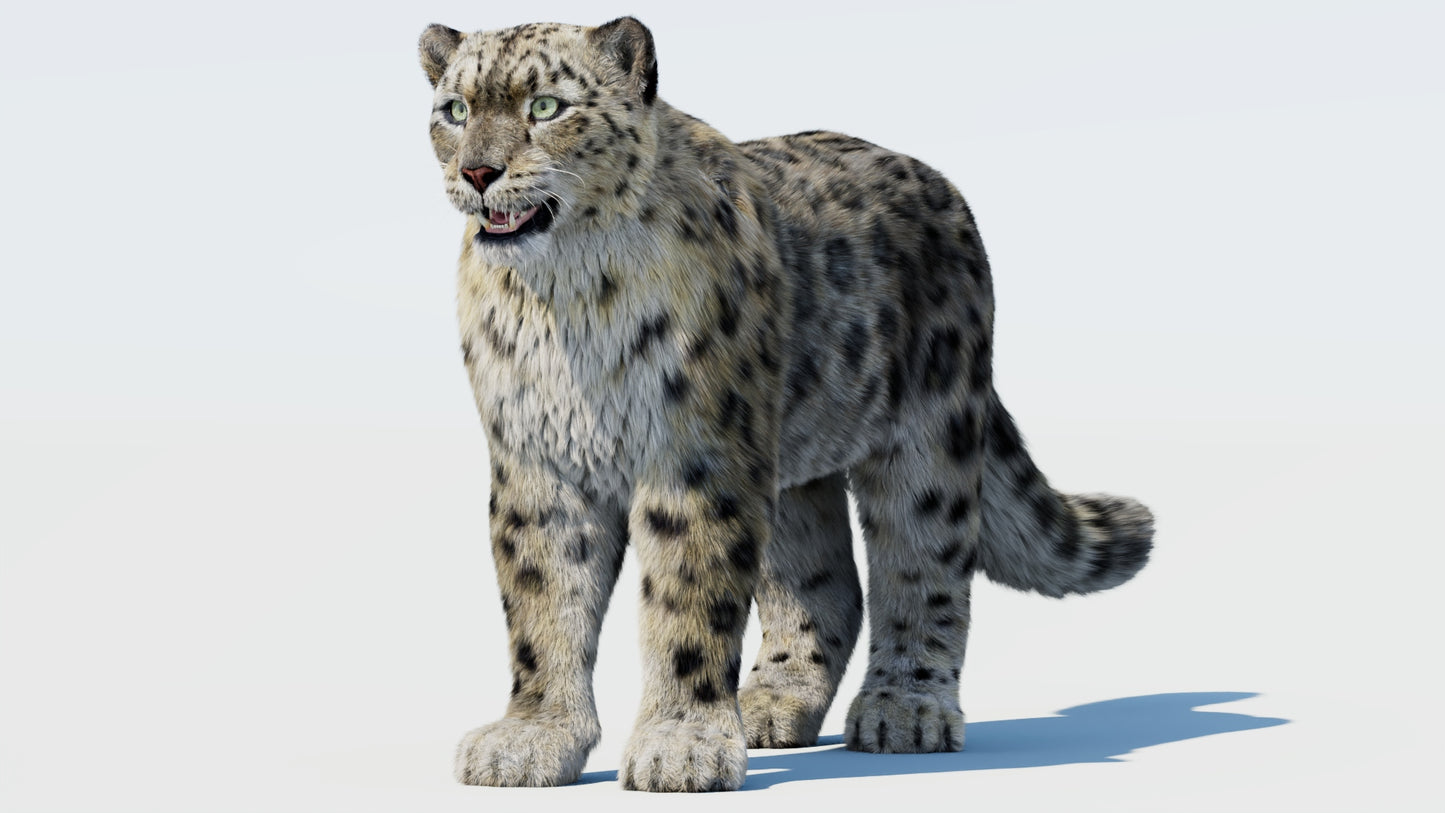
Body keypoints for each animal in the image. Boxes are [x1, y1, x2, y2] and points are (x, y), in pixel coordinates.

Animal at [417, 17, 1154, 793]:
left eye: (546, 107)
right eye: (455, 111)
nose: (477, 172)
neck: (567, 300)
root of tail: (938, 183)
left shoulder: (695, 454)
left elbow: (689, 598)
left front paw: (681, 747)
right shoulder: (538, 460)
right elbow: (542, 599)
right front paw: (531, 738)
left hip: (928, 434)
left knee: (922, 563)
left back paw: (904, 709)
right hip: (785, 459)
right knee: (824, 582)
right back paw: (772, 703)